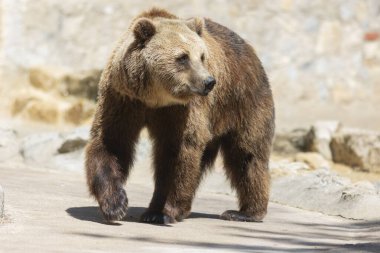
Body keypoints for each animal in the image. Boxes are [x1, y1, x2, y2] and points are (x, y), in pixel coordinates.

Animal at [84, 7, 274, 224]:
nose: (209, 82)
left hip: (243, 102)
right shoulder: (123, 99)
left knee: (246, 154)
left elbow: (179, 153)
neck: (154, 98)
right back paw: (153, 212)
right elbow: (112, 142)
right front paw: (115, 204)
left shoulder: (182, 111)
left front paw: (168, 211)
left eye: (202, 56)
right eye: (182, 57)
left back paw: (245, 212)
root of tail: (251, 51)